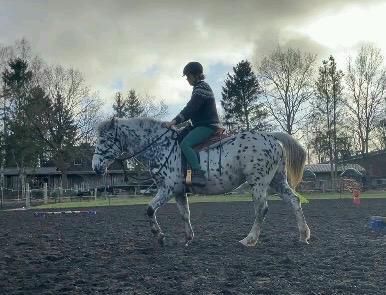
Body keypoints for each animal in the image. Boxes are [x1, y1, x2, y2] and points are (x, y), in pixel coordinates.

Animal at [92, 117, 310, 247]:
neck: (161, 146)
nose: (95, 167)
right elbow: (184, 214)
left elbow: (149, 209)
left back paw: (249, 239)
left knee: (262, 209)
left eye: (104, 140)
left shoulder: (167, 189)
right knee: (294, 201)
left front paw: (159, 236)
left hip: (258, 183)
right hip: (276, 181)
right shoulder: (179, 192)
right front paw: (188, 238)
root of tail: (272, 137)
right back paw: (303, 235)